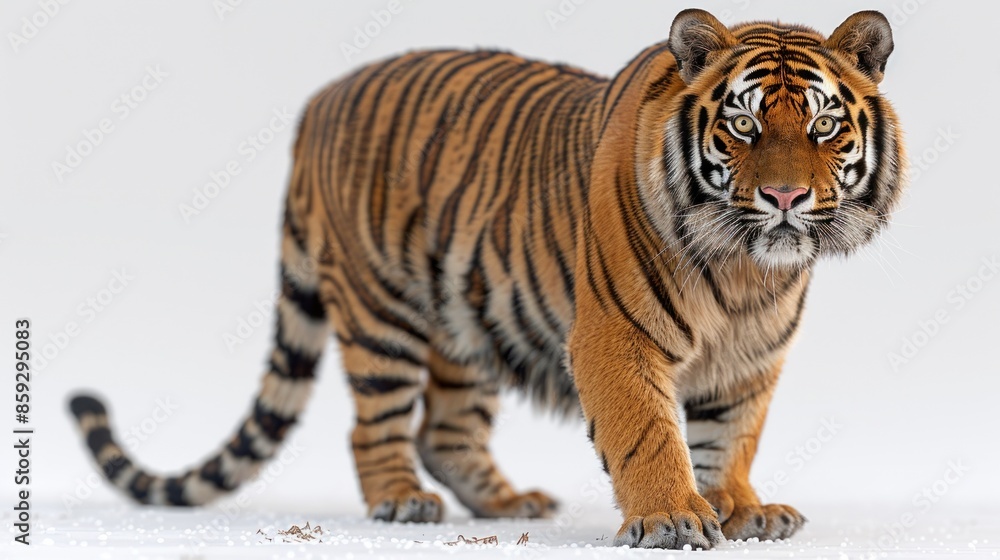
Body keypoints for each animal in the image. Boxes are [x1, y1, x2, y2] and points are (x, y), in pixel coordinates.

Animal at [70, 9, 905, 550]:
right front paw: (672, 516)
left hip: (469, 320)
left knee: (444, 431)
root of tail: (315, 106)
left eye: (824, 126)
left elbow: (731, 436)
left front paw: (740, 508)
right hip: (382, 313)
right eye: (742, 125)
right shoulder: (615, 336)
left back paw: (506, 502)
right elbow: (649, 434)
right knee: (373, 426)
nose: (786, 197)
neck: (747, 270)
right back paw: (402, 502)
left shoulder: (750, 358)